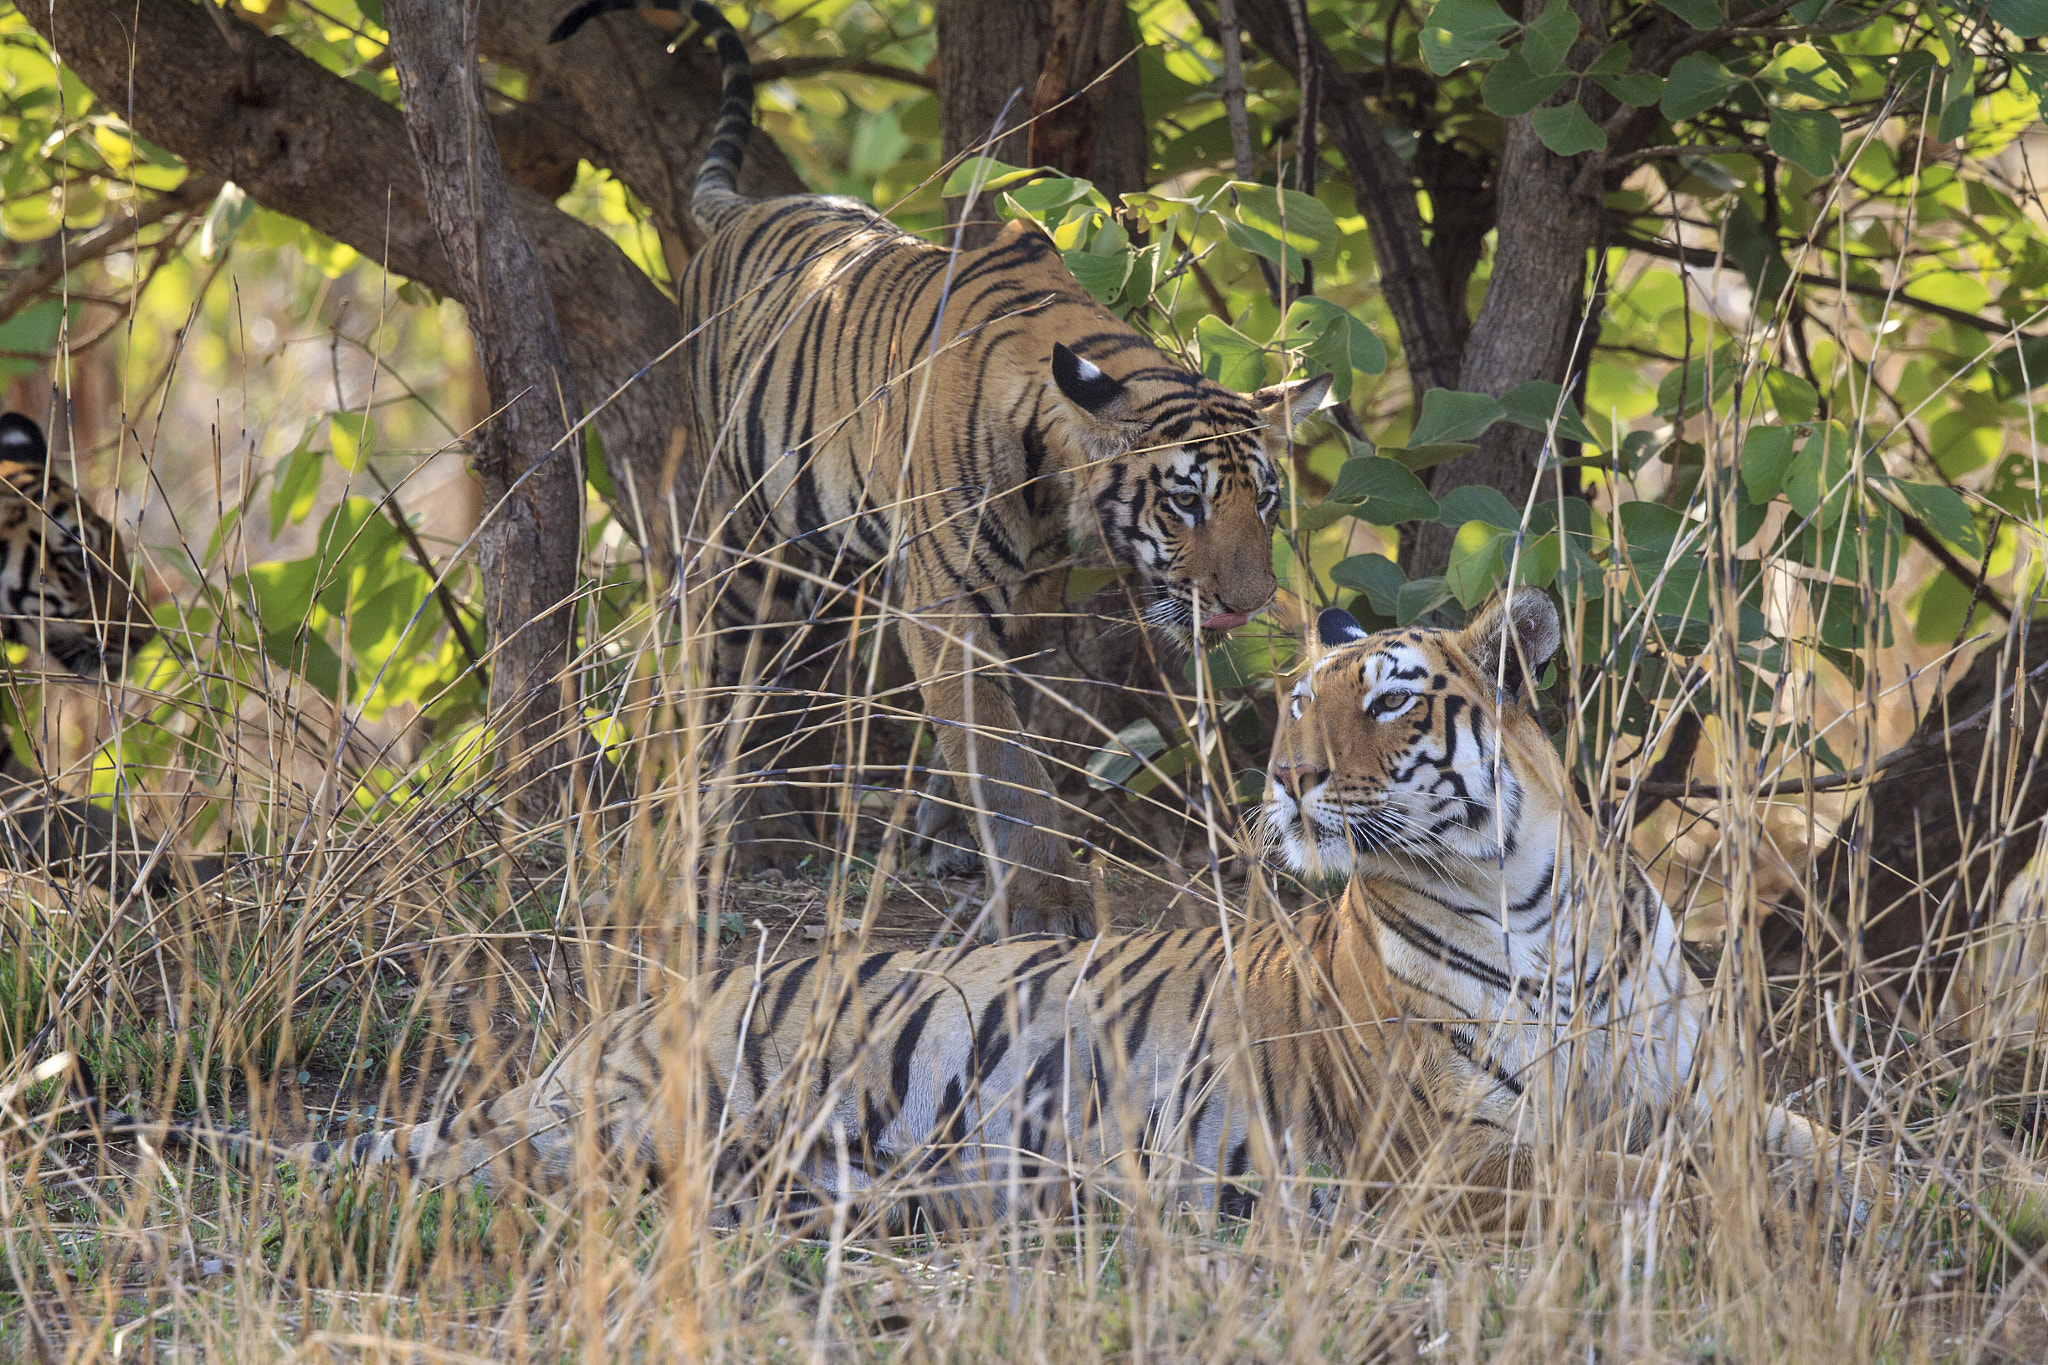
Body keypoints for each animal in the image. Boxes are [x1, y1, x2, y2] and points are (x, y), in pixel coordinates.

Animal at [99, 593, 1875, 1236]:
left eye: (1382, 698)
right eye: (1290, 705)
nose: (1288, 775)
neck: (1531, 906)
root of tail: (598, 1039)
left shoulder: (1708, 1083)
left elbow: (1808, 1144)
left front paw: (1911, 1186)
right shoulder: (1446, 1151)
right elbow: (1632, 1170)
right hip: (671, 1105)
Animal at [552, 0, 1335, 941]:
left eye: (1266, 503)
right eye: (1186, 502)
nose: (1249, 604)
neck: (1057, 478)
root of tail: (742, 209)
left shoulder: (1028, 596)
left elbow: (999, 724)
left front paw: (954, 835)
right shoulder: (951, 594)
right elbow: (1002, 754)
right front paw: (1045, 899)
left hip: (833, 555)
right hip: (752, 536)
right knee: (729, 668)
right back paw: (762, 835)